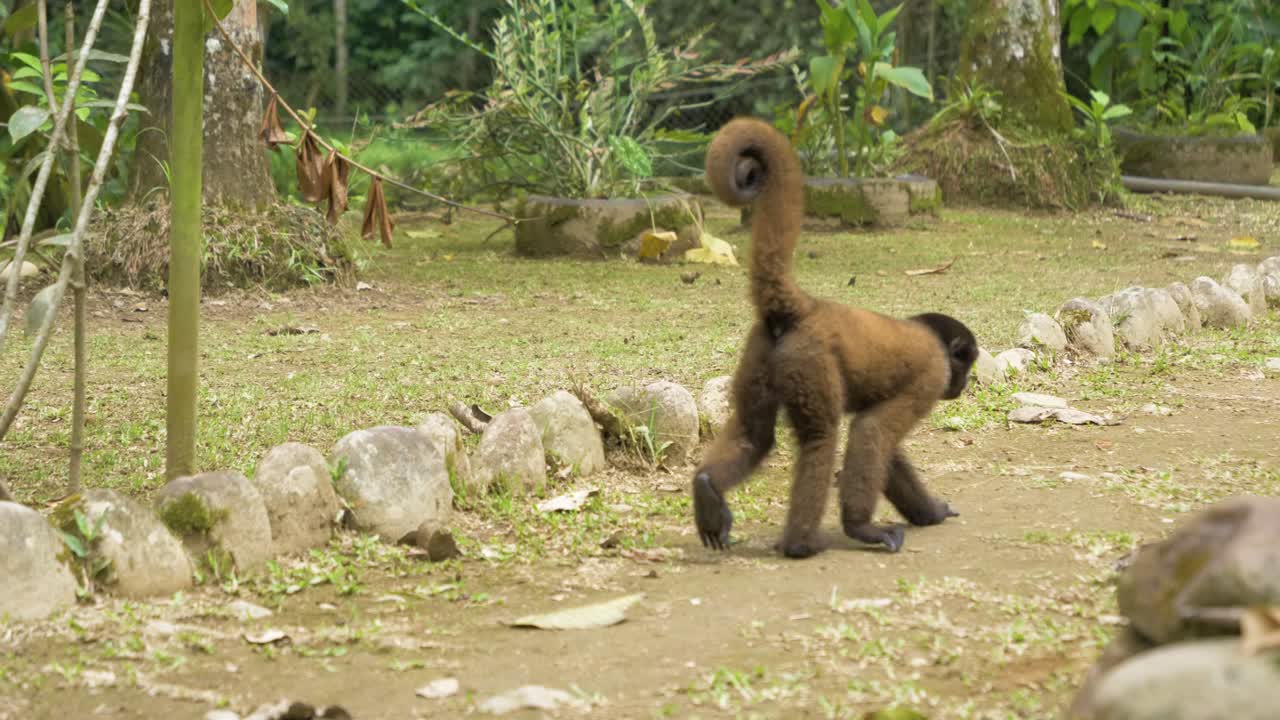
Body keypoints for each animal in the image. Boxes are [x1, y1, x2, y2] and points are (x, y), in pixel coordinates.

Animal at [691, 117, 979, 559]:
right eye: (967, 365)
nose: (961, 385)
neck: (930, 336)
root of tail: (806, 306)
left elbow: (888, 452)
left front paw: (930, 512)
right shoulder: (932, 374)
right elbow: (871, 431)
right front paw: (862, 527)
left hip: (762, 353)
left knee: (754, 434)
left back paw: (707, 487)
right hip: (808, 359)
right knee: (820, 438)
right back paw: (803, 544)